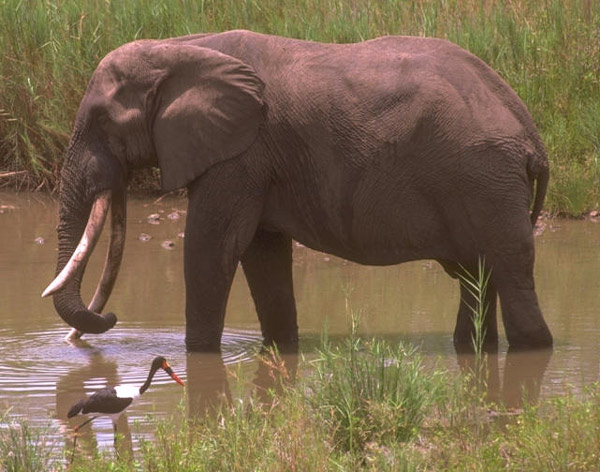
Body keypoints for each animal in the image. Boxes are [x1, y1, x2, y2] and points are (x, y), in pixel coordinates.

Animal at [43, 29, 552, 352]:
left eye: (101, 120)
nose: (110, 320)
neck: (178, 48)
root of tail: (531, 135)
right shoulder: (255, 160)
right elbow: (262, 254)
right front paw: (281, 348)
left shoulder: (240, 153)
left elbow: (212, 248)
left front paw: (199, 355)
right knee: (478, 277)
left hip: (484, 179)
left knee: (510, 273)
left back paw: (532, 348)